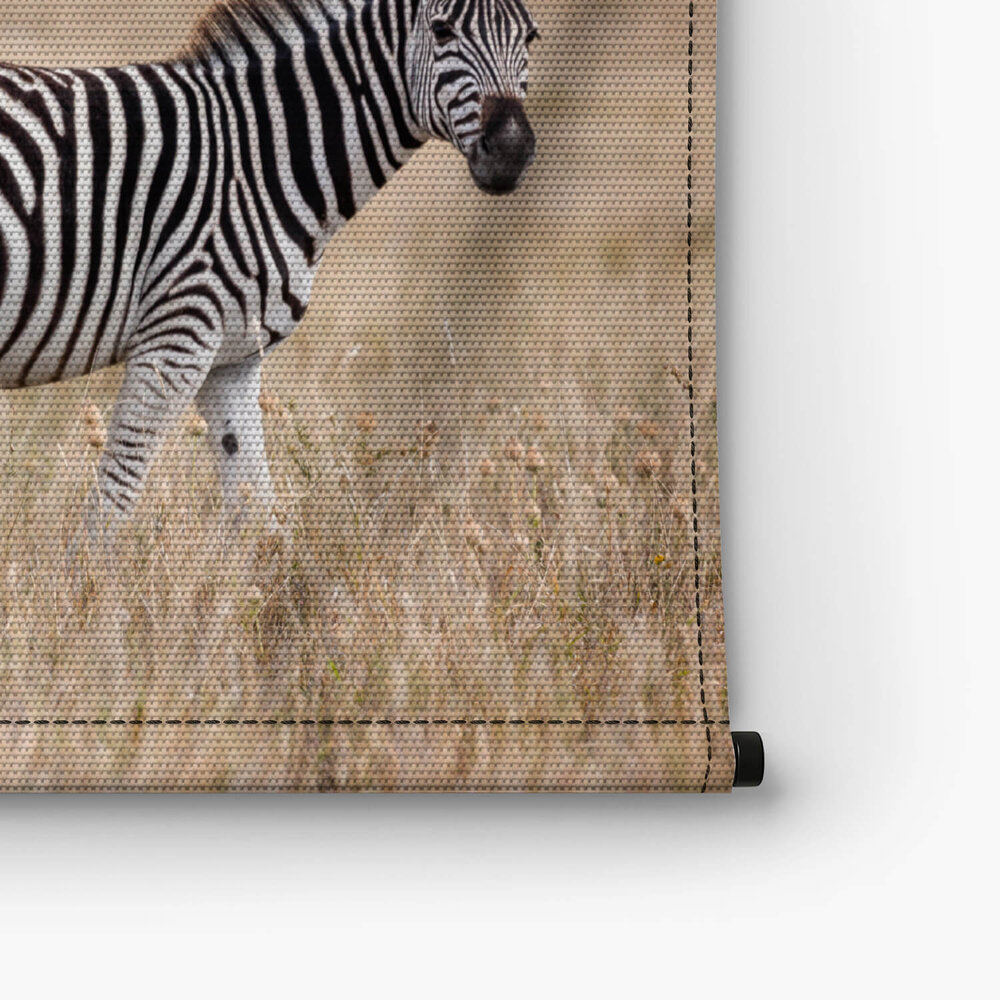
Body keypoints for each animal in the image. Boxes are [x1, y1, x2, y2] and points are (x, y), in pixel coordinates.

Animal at [0, 0, 538, 539]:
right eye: (442, 30)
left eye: (531, 37)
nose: (512, 152)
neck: (258, 156)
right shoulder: (178, 331)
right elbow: (112, 505)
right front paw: (87, 567)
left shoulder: (233, 357)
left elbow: (260, 515)